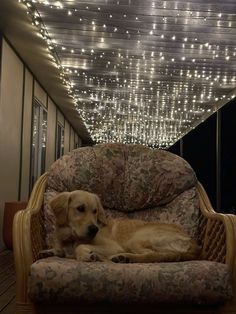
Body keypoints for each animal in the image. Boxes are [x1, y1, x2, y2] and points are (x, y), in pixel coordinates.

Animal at [41, 189, 200, 262]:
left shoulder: (112, 246)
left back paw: (123, 257)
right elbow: (59, 250)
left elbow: (79, 248)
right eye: (80, 209)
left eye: (95, 211)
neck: (70, 237)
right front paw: (49, 252)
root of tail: (194, 244)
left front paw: (85, 255)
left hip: (135, 239)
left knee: (150, 255)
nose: (94, 229)